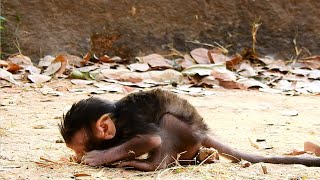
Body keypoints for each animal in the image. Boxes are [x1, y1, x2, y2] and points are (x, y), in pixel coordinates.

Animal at [59, 88, 320, 170]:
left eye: (80, 147)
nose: (77, 155)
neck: (118, 117)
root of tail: (204, 131)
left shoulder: (130, 121)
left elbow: (150, 139)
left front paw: (95, 158)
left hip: (188, 135)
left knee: (167, 122)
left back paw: (150, 165)